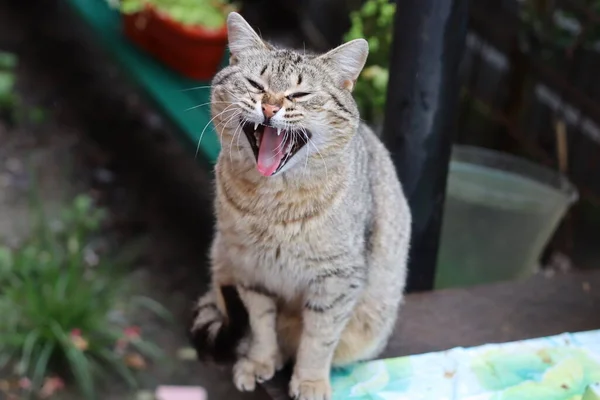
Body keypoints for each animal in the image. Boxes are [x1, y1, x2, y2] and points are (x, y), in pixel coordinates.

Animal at [190, 12, 410, 400]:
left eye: (300, 94)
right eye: (255, 84)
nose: (270, 106)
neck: (272, 203)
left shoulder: (337, 280)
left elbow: (318, 340)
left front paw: (309, 382)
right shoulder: (250, 270)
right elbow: (261, 325)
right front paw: (260, 360)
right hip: (221, 263)